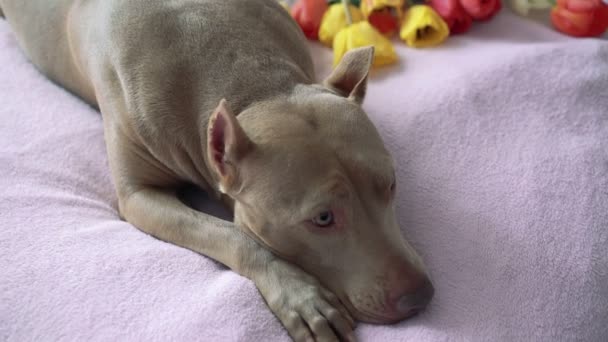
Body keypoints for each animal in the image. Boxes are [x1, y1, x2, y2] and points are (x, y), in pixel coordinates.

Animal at [2, 0, 434, 340]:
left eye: (390, 185)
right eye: (323, 218)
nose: (420, 296)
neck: (254, 85)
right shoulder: (140, 197)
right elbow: (229, 235)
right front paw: (301, 295)